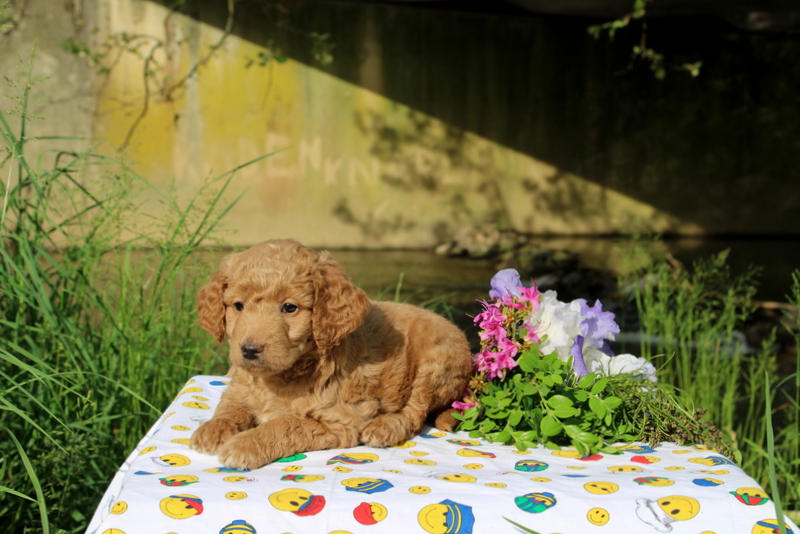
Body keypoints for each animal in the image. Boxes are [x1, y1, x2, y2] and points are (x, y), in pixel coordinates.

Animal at [190, 239, 472, 468]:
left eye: (289, 308)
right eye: (238, 306)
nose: (249, 350)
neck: (278, 378)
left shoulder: (340, 421)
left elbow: (285, 424)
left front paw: (245, 444)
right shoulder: (239, 387)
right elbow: (230, 406)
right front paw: (212, 429)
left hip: (436, 365)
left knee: (415, 411)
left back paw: (385, 427)